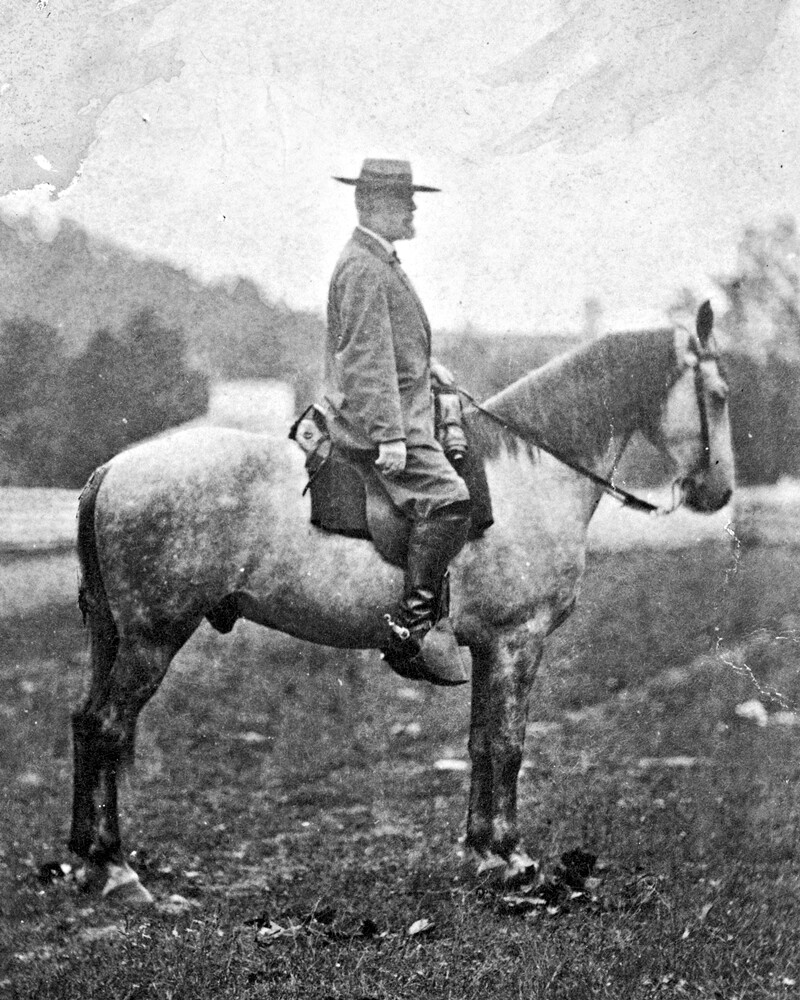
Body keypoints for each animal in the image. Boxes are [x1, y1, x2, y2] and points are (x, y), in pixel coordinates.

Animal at [69, 303, 734, 903]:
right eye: (720, 394)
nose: (719, 492)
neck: (529, 474)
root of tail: (112, 469)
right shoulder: (516, 642)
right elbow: (508, 744)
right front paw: (511, 857)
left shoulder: (488, 647)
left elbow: (481, 742)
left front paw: (482, 853)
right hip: (153, 637)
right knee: (107, 726)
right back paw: (117, 871)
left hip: (114, 636)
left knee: (84, 720)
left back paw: (86, 862)